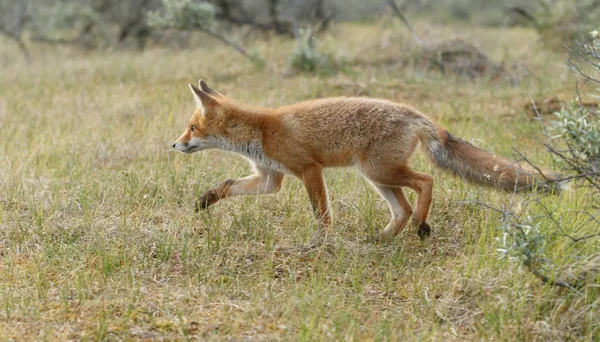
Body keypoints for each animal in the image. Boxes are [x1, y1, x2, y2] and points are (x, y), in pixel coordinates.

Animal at [171, 80, 560, 240]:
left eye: (191, 127)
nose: (175, 144)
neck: (262, 132)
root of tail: (416, 114)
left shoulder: (309, 170)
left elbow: (322, 214)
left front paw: (322, 241)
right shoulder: (270, 178)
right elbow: (227, 185)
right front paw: (204, 202)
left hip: (380, 170)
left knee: (426, 182)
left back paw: (421, 225)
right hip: (378, 177)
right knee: (402, 208)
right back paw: (384, 238)